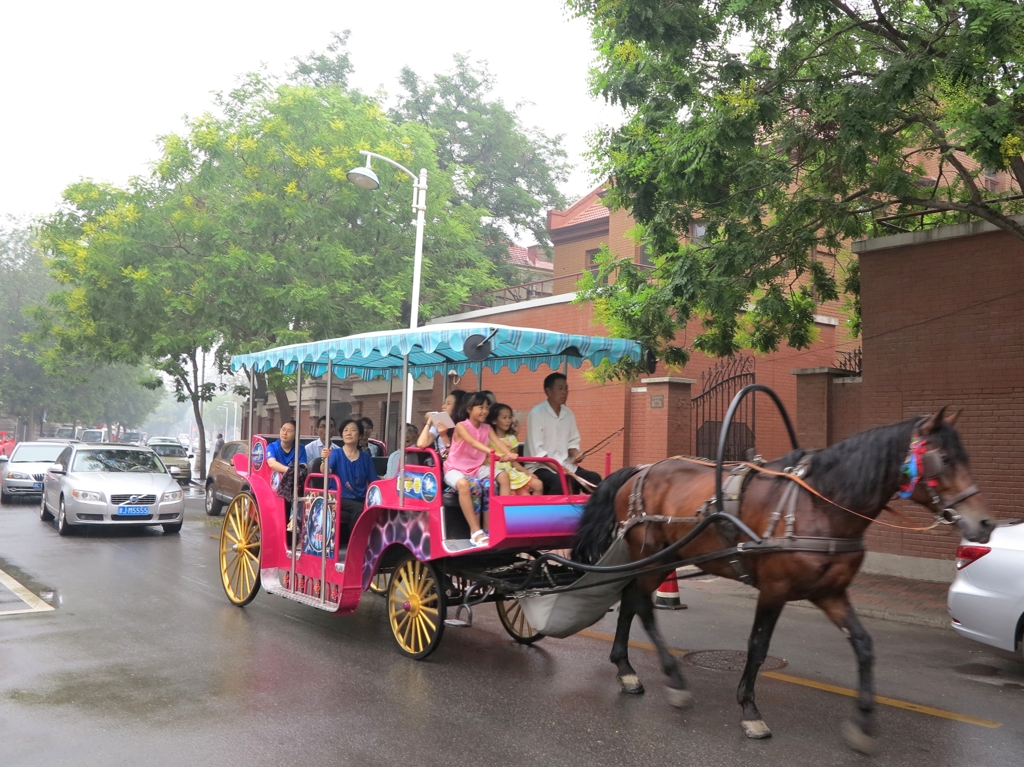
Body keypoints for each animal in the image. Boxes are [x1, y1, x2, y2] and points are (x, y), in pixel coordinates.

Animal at [573, 409, 995, 749]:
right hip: (652, 556)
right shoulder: (774, 590)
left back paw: (626, 670)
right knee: (642, 605)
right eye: (943, 458)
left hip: (666, 559)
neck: (821, 505)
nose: (985, 523)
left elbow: (863, 645)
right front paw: (749, 710)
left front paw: (863, 722)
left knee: (631, 600)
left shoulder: (831, 593)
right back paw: (673, 680)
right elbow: (758, 646)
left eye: (966, 457)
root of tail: (640, 470)